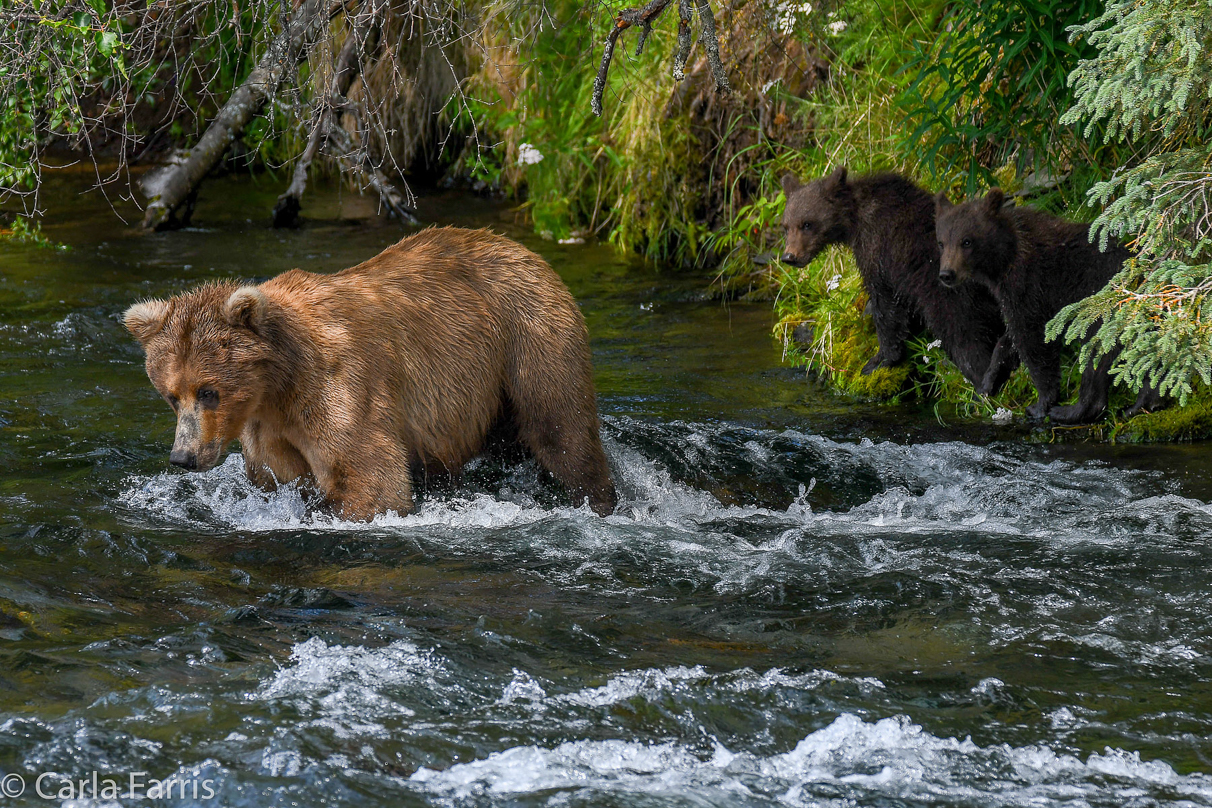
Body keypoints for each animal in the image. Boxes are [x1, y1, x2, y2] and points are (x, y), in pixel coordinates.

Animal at [123, 224, 620, 520]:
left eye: (208, 391)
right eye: (171, 395)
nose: (183, 457)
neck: (277, 386)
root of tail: (522, 248)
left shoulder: (338, 387)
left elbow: (371, 479)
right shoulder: (269, 429)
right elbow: (281, 477)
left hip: (529, 337)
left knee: (561, 430)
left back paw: (598, 499)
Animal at [780, 167, 1018, 392]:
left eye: (807, 224)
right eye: (786, 226)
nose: (789, 257)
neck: (853, 221)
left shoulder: (878, 250)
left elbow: (885, 305)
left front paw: (878, 360)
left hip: (954, 300)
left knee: (966, 341)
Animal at [930, 188, 1139, 423]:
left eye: (966, 241)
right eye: (941, 242)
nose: (947, 274)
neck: (1005, 259)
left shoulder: (1029, 284)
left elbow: (1032, 340)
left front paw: (1041, 403)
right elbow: (1009, 339)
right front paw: (988, 383)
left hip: (1103, 308)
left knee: (1096, 355)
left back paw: (1073, 410)